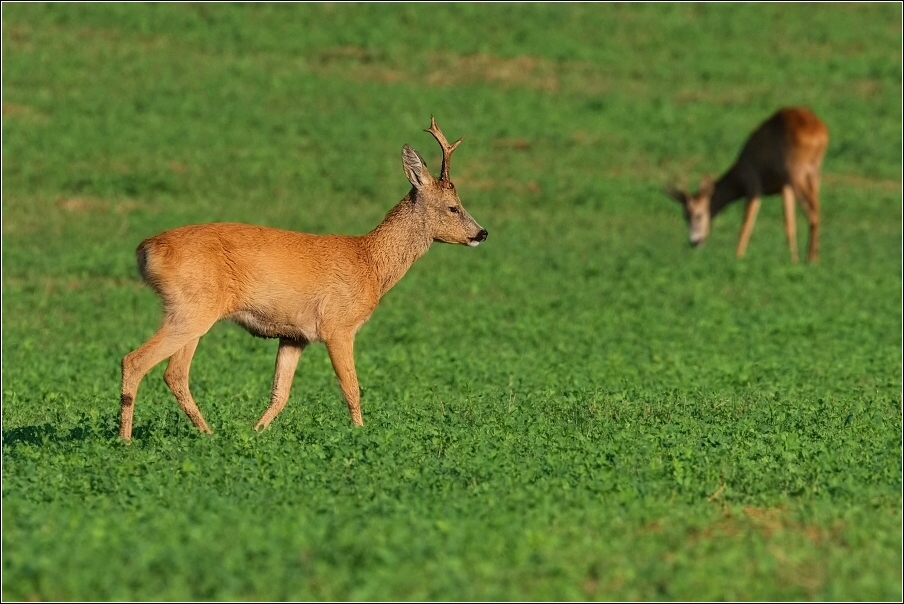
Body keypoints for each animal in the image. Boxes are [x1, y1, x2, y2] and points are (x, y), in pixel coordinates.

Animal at [121, 117, 490, 438]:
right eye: (453, 207)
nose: (482, 233)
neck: (370, 262)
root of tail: (145, 249)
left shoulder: (294, 336)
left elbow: (280, 394)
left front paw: (256, 432)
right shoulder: (338, 325)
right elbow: (352, 388)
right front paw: (360, 433)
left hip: (192, 312)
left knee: (174, 373)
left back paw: (207, 433)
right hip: (191, 308)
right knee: (136, 361)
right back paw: (126, 439)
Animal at [668, 107, 828, 264]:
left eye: (698, 215)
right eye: (684, 215)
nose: (694, 242)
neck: (740, 175)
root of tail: (820, 134)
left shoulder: (754, 184)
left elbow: (746, 224)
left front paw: (737, 257)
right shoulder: (784, 187)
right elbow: (790, 223)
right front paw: (794, 259)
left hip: (796, 172)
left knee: (813, 214)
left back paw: (811, 260)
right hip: (814, 173)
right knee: (817, 211)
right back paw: (815, 257)